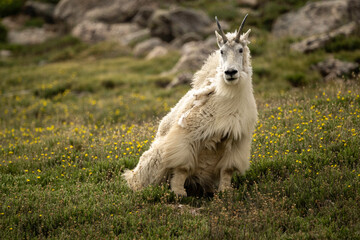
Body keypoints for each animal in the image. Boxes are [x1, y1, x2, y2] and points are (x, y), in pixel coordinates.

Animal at [122, 14, 258, 196]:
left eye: (240, 50)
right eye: (222, 51)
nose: (230, 72)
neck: (229, 96)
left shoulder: (238, 139)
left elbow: (227, 169)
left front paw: (225, 192)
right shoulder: (187, 135)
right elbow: (182, 167)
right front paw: (179, 193)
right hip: (153, 159)